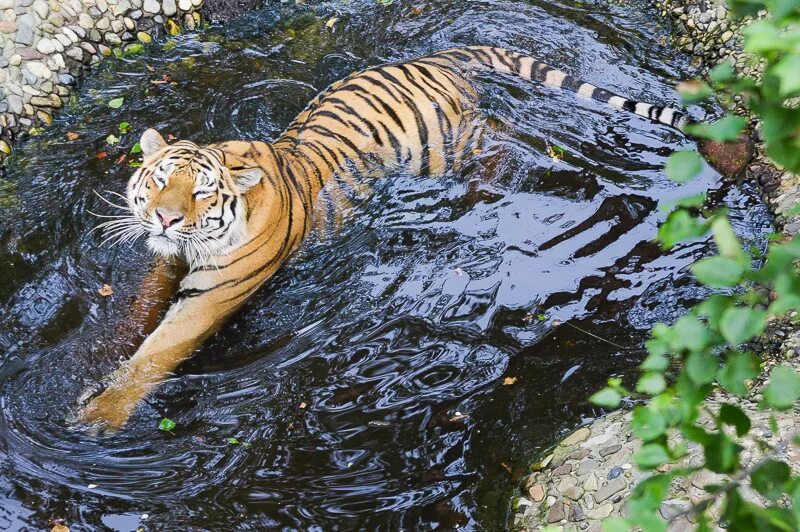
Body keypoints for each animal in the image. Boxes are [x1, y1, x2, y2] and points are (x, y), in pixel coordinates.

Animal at [78, 44, 696, 428]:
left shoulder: (210, 297)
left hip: (449, 149)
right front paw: (96, 360)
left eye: (203, 194)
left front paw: (98, 417)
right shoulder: (165, 265)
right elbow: (135, 318)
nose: (164, 220)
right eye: (160, 182)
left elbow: (157, 353)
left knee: (500, 137)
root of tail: (436, 57)